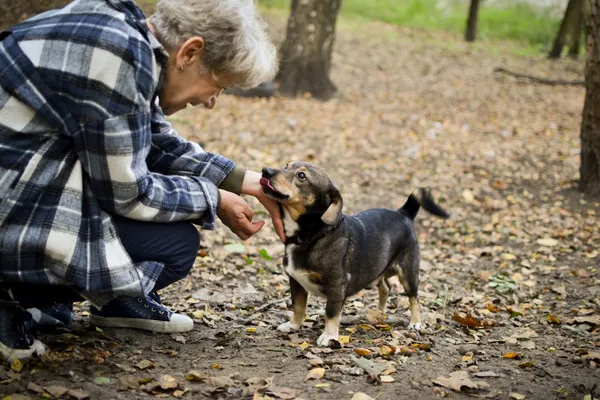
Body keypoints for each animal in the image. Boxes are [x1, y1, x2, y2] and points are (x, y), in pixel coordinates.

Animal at [260, 161, 448, 346]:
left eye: (301, 176)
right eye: (286, 166)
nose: (265, 171)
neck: (312, 235)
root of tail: (403, 212)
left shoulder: (336, 285)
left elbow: (331, 313)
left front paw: (329, 336)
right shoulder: (296, 281)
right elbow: (298, 307)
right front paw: (293, 325)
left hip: (408, 273)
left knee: (414, 298)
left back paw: (416, 322)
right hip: (377, 271)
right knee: (386, 287)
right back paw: (379, 312)